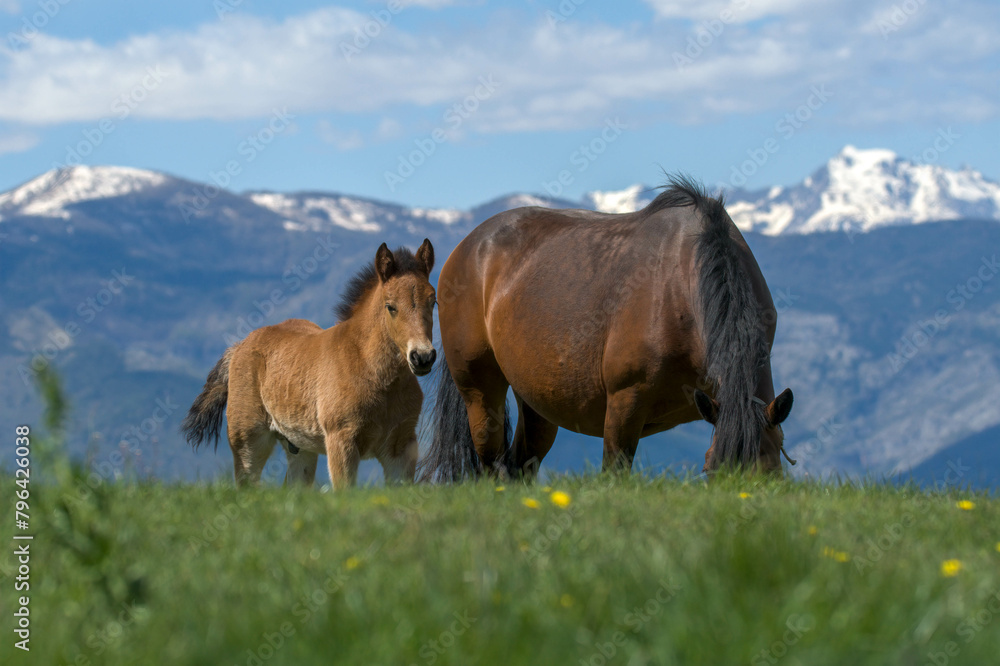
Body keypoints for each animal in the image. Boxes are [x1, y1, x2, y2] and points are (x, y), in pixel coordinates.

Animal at [182, 240, 437, 488]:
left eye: (433, 301)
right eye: (390, 306)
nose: (422, 357)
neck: (370, 370)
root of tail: (239, 346)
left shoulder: (401, 447)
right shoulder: (341, 441)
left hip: (300, 448)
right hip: (247, 441)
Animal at [418, 176, 793, 482]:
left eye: (773, 474)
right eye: (711, 471)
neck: (682, 287)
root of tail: (467, 247)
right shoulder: (625, 404)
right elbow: (615, 473)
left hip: (537, 402)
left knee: (519, 466)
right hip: (481, 394)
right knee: (490, 465)